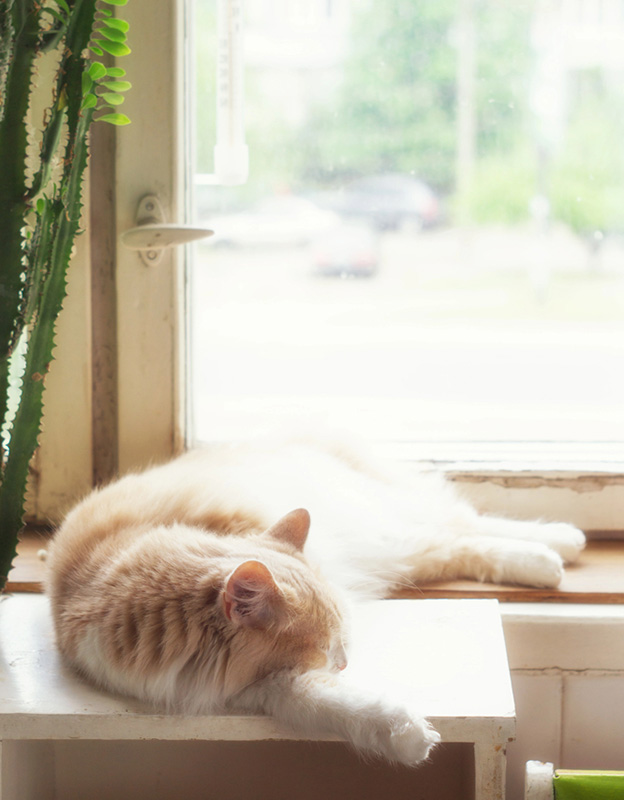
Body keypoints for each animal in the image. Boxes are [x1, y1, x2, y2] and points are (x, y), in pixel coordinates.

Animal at [47, 434, 584, 764]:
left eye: (340, 641)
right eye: (326, 648)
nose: (345, 662)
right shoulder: (262, 686)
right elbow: (334, 704)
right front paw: (407, 737)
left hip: (386, 533)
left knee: (462, 530)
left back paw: (558, 546)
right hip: (392, 547)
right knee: (456, 538)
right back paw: (558, 550)